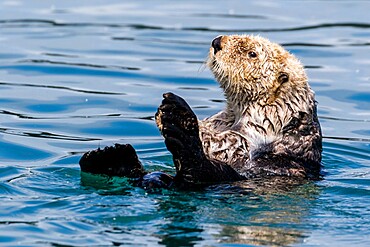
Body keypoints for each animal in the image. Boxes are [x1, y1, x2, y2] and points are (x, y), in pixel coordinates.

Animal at [79, 35, 322, 189]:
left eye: (252, 54)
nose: (217, 42)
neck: (235, 115)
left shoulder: (259, 128)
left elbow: (223, 145)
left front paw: (172, 119)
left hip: (220, 176)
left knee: (197, 170)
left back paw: (179, 120)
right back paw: (109, 157)